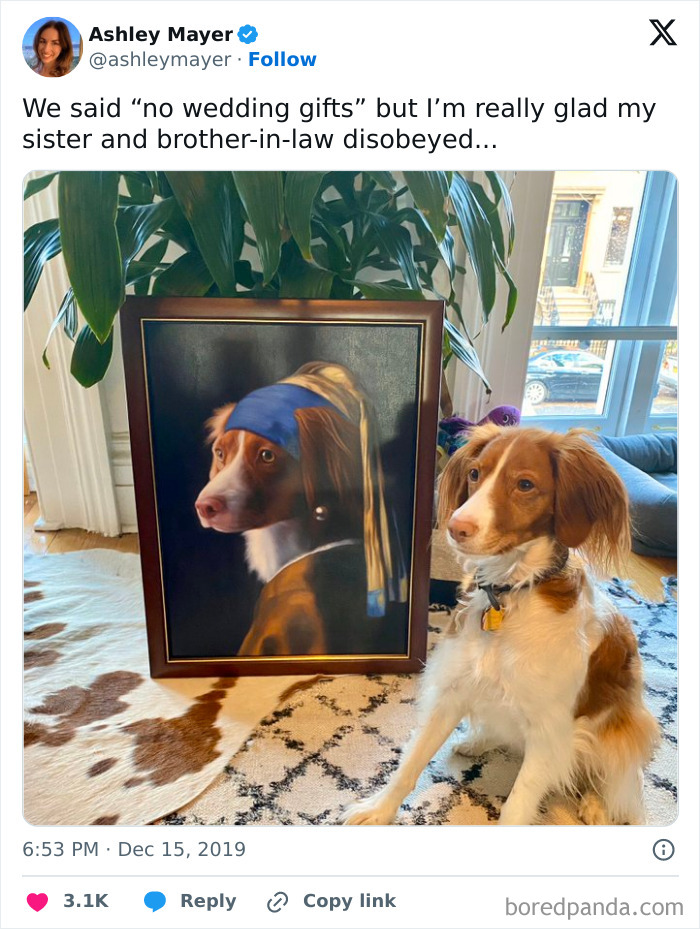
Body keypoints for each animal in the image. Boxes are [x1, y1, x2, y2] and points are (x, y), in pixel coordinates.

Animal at [344, 424, 660, 824]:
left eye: (525, 484)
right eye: (475, 473)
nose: (455, 527)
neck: (511, 593)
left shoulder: (549, 732)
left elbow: (518, 804)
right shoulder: (453, 689)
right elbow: (411, 761)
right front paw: (378, 810)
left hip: (625, 726)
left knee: (622, 778)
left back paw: (596, 805)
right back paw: (476, 741)